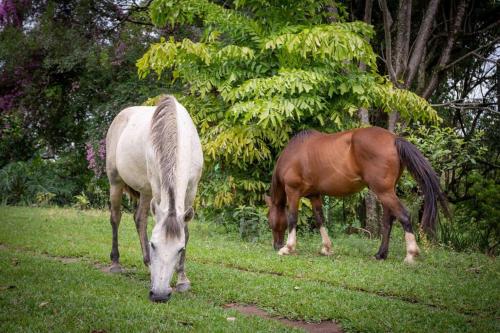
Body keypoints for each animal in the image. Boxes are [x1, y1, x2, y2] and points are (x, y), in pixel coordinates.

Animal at [105, 95, 203, 300]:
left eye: (180, 249)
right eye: (153, 244)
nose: (159, 295)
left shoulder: (191, 189)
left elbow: (186, 231)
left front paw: (182, 280)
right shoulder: (158, 187)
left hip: (145, 191)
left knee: (139, 219)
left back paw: (148, 263)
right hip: (116, 182)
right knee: (115, 218)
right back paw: (116, 263)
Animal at [264, 126, 448, 264]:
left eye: (270, 221)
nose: (276, 245)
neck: (293, 153)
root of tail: (394, 139)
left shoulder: (293, 192)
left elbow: (292, 218)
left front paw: (288, 248)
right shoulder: (314, 195)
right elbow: (320, 219)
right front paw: (326, 248)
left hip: (383, 192)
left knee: (404, 215)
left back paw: (410, 255)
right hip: (386, 193)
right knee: (388, 221)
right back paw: (380, 254)